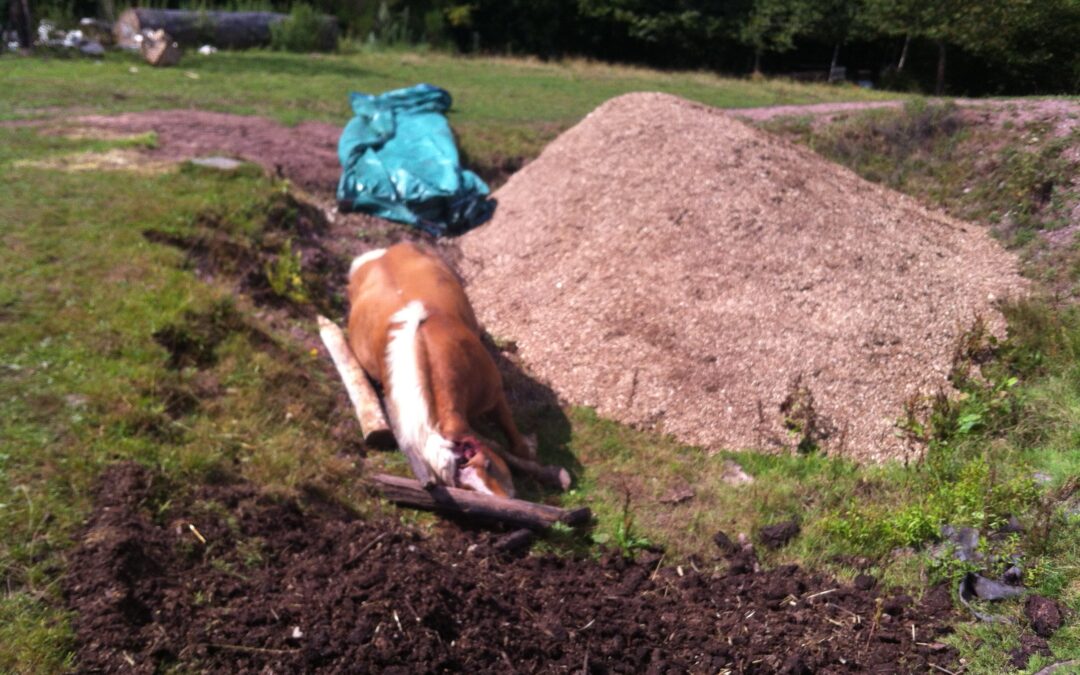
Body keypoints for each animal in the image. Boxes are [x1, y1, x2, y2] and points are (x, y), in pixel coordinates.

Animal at [345, 241, 531, 494]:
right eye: (465, 487)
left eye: (489, 464)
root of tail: (383, 253)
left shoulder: (494, 391)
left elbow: (509, 424)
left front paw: (526, 452)